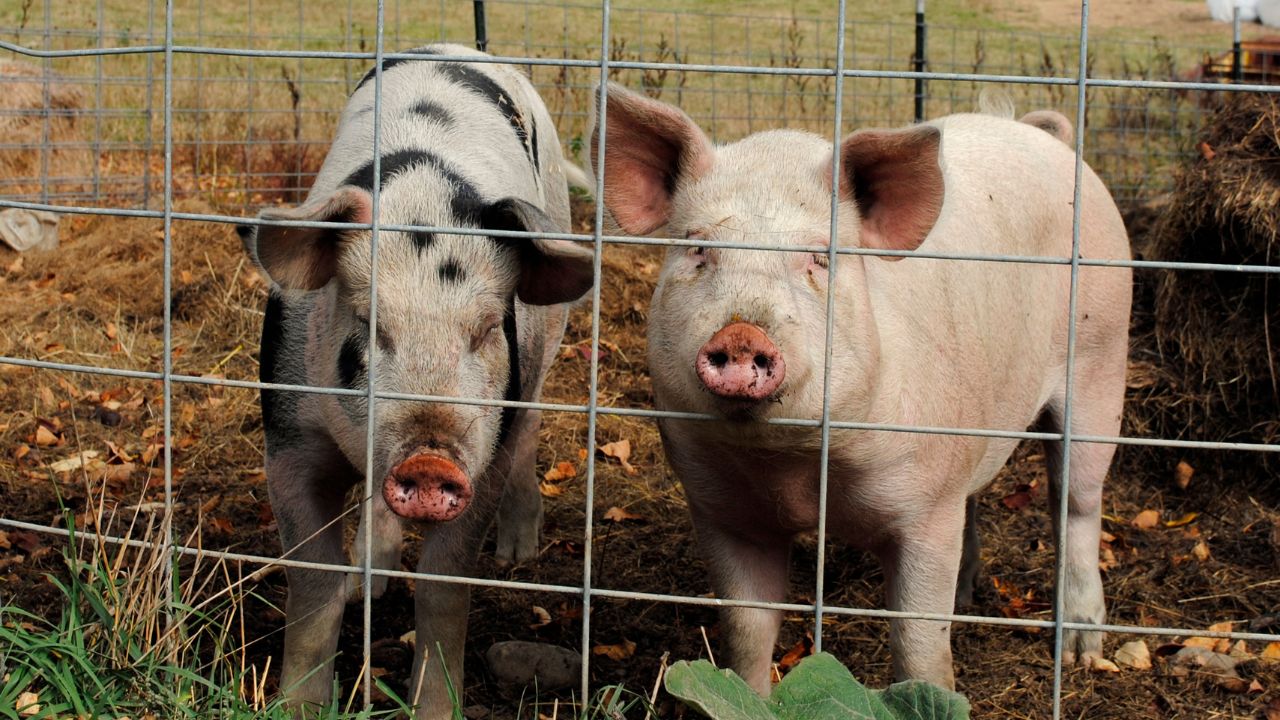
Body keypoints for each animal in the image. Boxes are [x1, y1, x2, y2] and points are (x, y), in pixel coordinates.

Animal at [237, 44, 593, 719]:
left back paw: (517, 553)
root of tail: (458, 48)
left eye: (486, 330)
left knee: (531, 422)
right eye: (368, 323)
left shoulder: (482, 457)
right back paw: (371, 580)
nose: (430, 461)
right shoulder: (288, 439)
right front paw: (298, 704)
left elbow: (444, 587)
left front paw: (433, 707)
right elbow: (313, 584)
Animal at [590, 82, 1131, 692]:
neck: (795, 471)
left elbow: (919, 644)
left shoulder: (926, 510)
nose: (741, 333)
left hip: (1101, 358)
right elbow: (746, 632)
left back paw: (1082, 650)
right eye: (698, 247)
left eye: (820, 257)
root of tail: (1042, 135)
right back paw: (967, 595)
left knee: (1076, 502)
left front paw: (932, 692)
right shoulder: (723, 510)